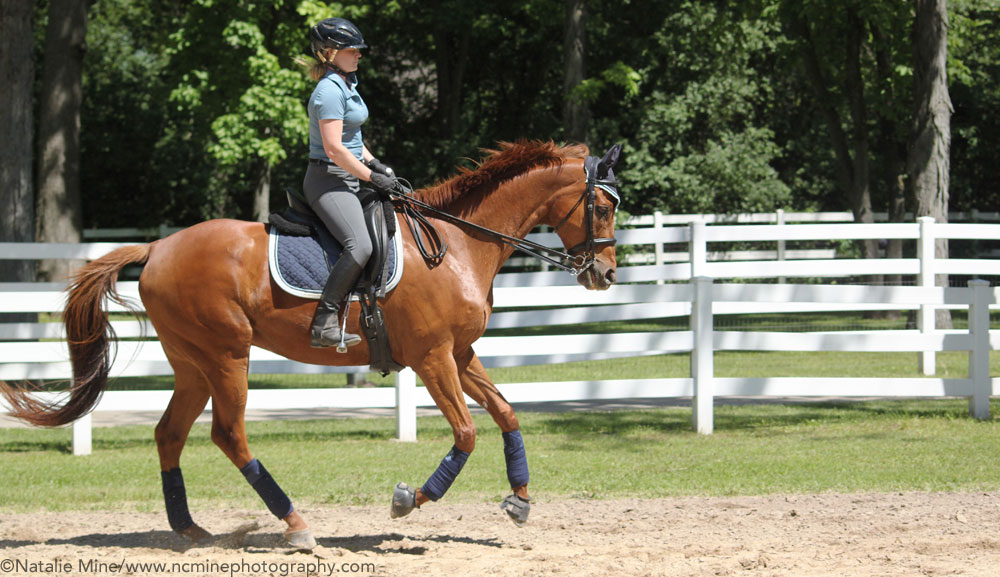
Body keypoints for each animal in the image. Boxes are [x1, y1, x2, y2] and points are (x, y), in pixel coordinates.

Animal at [3, 142, 620, 548]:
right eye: (604, 206)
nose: (607, 274)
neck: (458, 243)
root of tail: (157, 247)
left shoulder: (460, 354)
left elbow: (507, 413)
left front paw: (519, 499)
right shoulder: (431, 358)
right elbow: (467, 432)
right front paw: (409, 499)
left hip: (192, 363)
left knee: (170, 433)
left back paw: (190, 529)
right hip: (227, 356)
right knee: (228, 435)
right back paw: (296, 525)